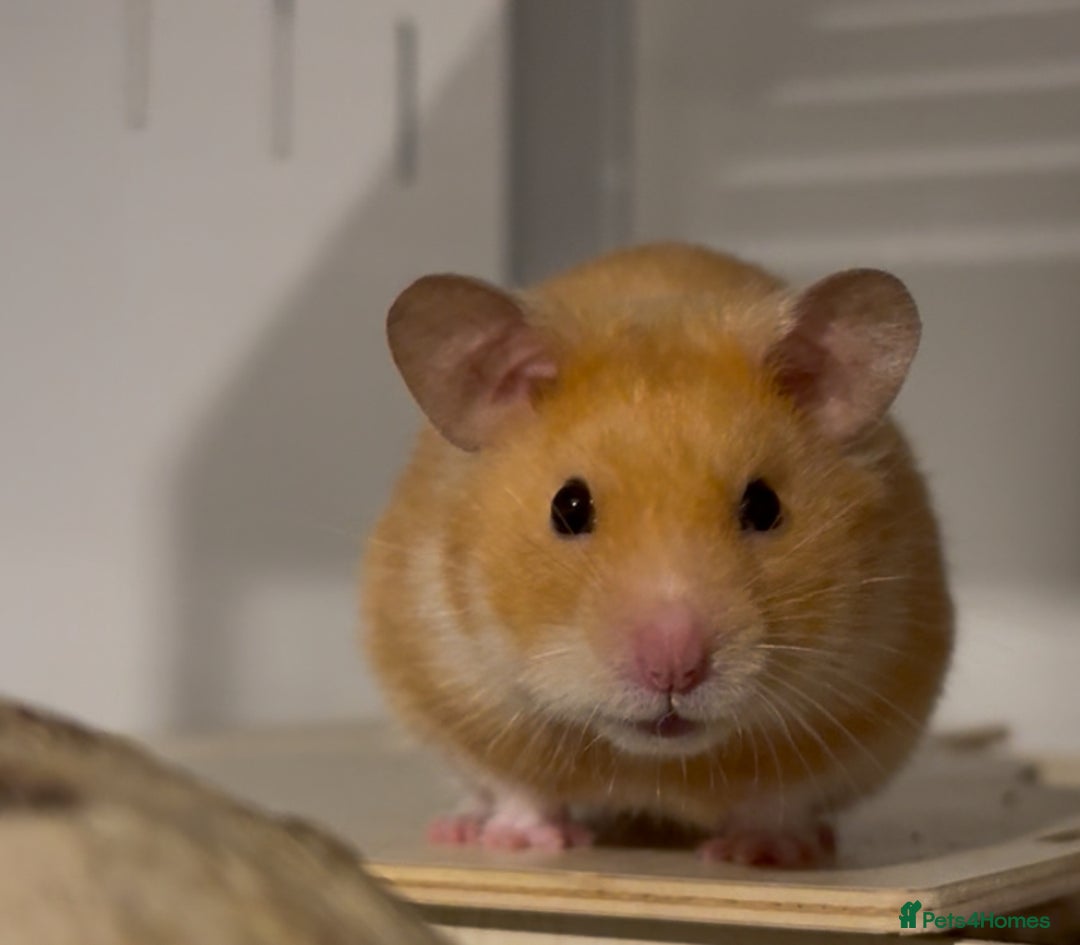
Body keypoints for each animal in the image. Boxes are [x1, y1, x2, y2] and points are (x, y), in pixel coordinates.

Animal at [361, 243, 953, 867]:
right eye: (568, 507)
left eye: (765, 505)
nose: (674, 669)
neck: (655, 763)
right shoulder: (457, 692)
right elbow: (520, 786)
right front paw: (522, 844)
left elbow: (778, 799)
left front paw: (759, 852)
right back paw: (459, 827)